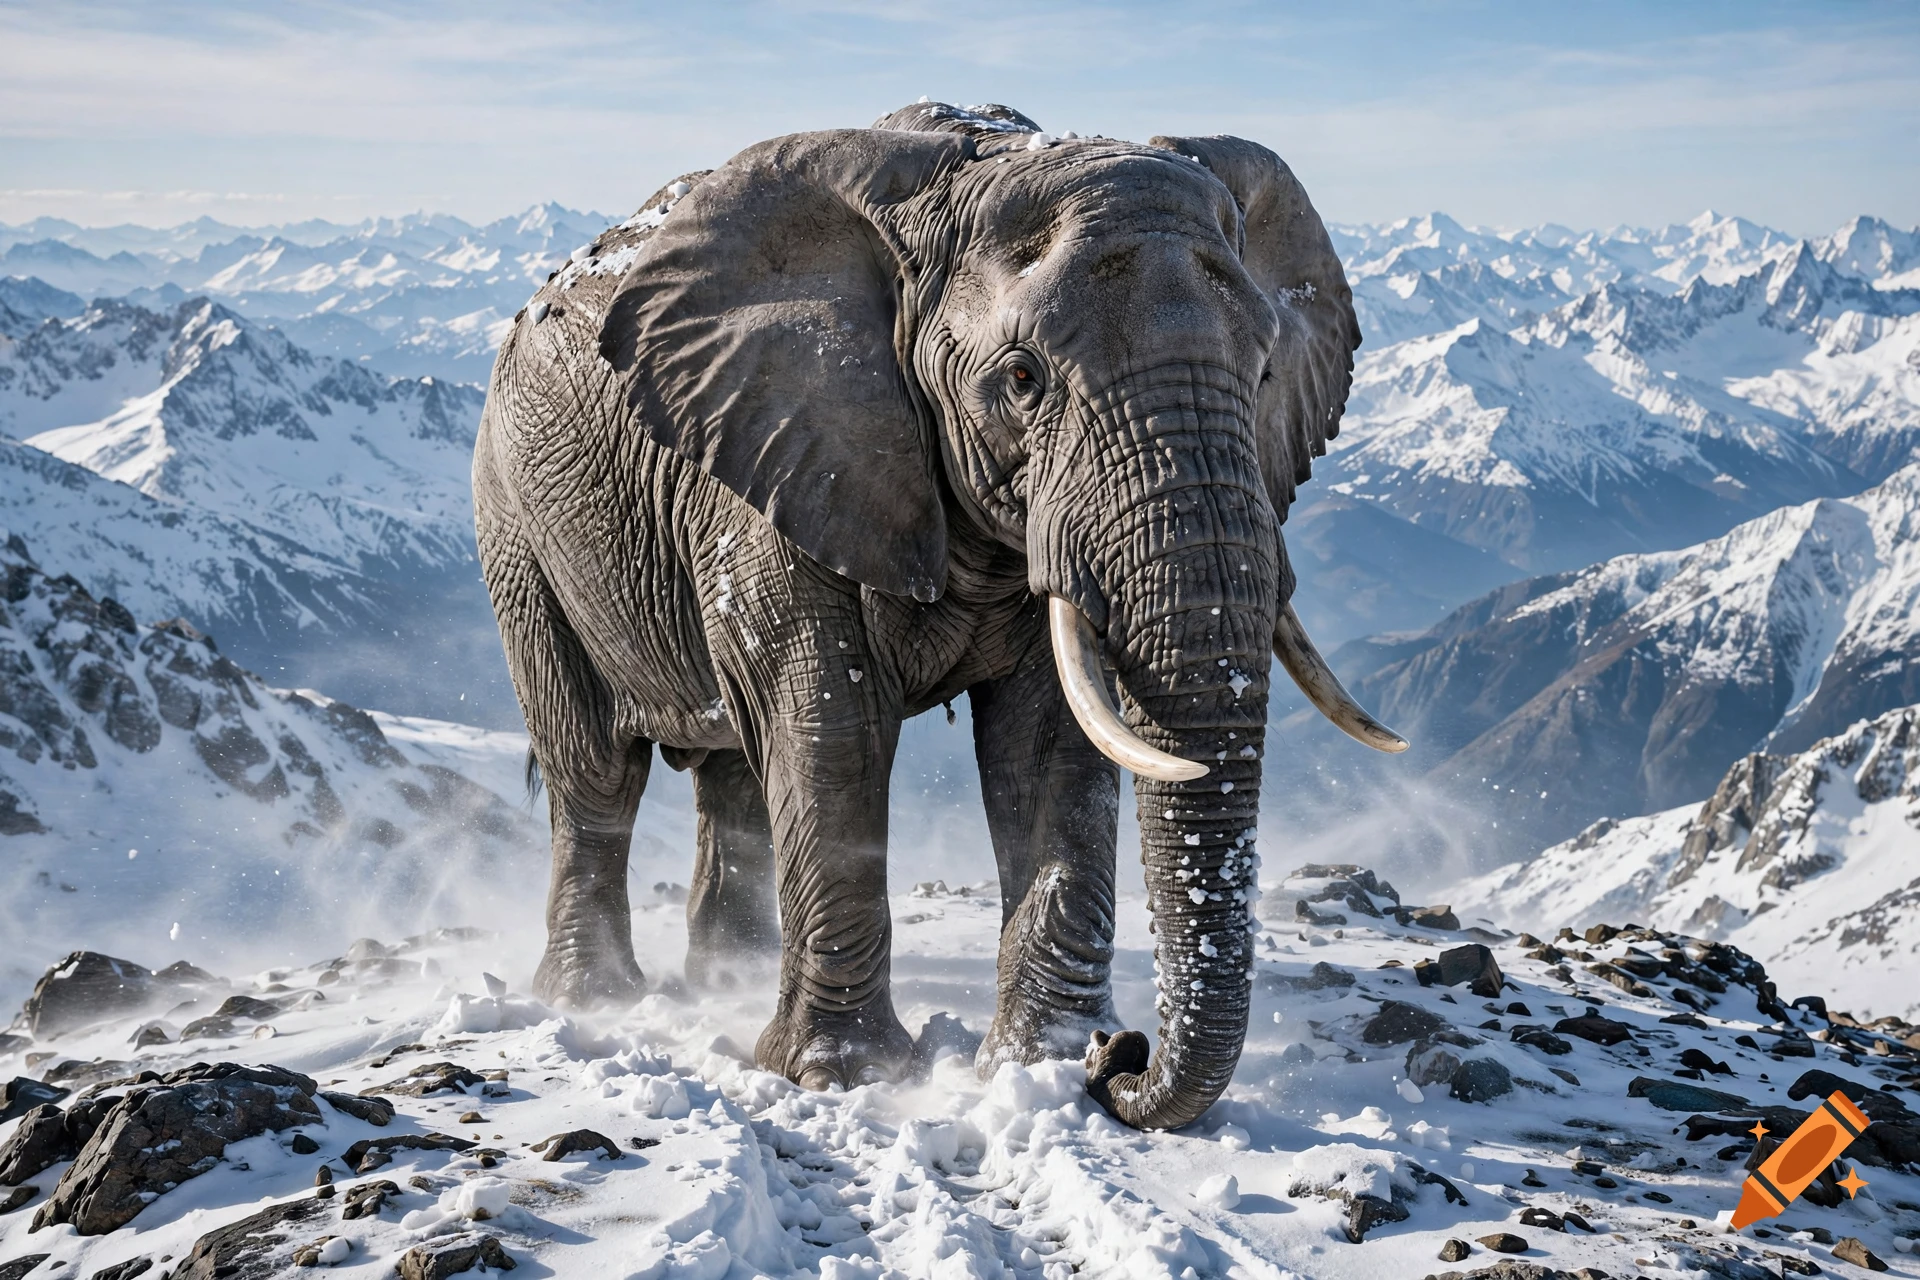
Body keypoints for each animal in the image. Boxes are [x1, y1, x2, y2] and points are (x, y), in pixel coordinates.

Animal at [472, 99, 1405, 1130]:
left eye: (1269, 368)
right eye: (1024, 377)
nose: (1119, 1055)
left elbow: (1046, 745)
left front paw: (1034, 1065)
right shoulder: (779, 455)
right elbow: (828, 725)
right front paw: (843, 1076)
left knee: (734, 780)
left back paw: (722, 985)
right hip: (515, 525)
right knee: (594, 768)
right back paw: (597, 1000)